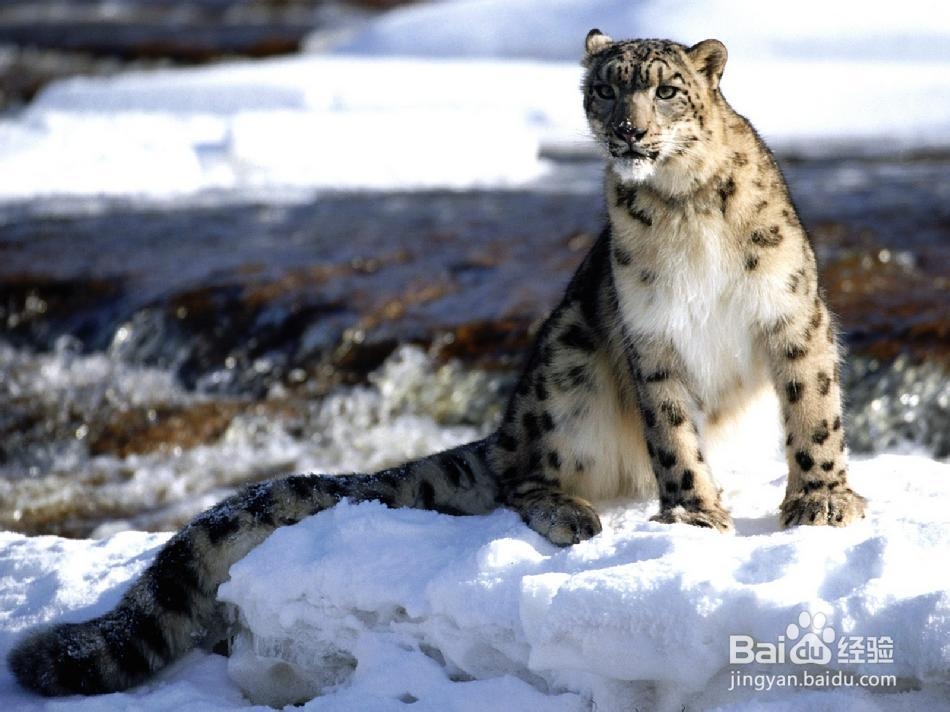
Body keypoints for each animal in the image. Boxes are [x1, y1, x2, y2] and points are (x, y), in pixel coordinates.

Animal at [9, 32, 872, 696]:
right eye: (605, 92)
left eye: (666, 90)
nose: (629, 133)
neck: (683, 209)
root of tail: (508, 428)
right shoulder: (649, 339)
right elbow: (672, 435)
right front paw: (695, 516)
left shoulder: (791, 312)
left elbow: (813, 408)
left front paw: (822, 500)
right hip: (566, 363)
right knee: (525, 475)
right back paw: (570, 511)